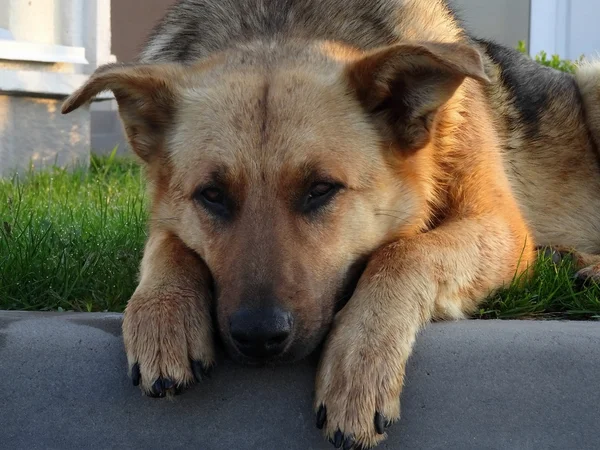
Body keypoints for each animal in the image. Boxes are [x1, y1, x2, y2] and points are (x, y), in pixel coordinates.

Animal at [59, 1, 600, 448]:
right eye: (211, 195)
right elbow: (166, 243)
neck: (282, 21)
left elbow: (403, 253)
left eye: (321, 189)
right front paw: (162, 313)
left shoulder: (500, 226)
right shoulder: (170, 214)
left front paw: (358, 365)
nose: (258, 336)